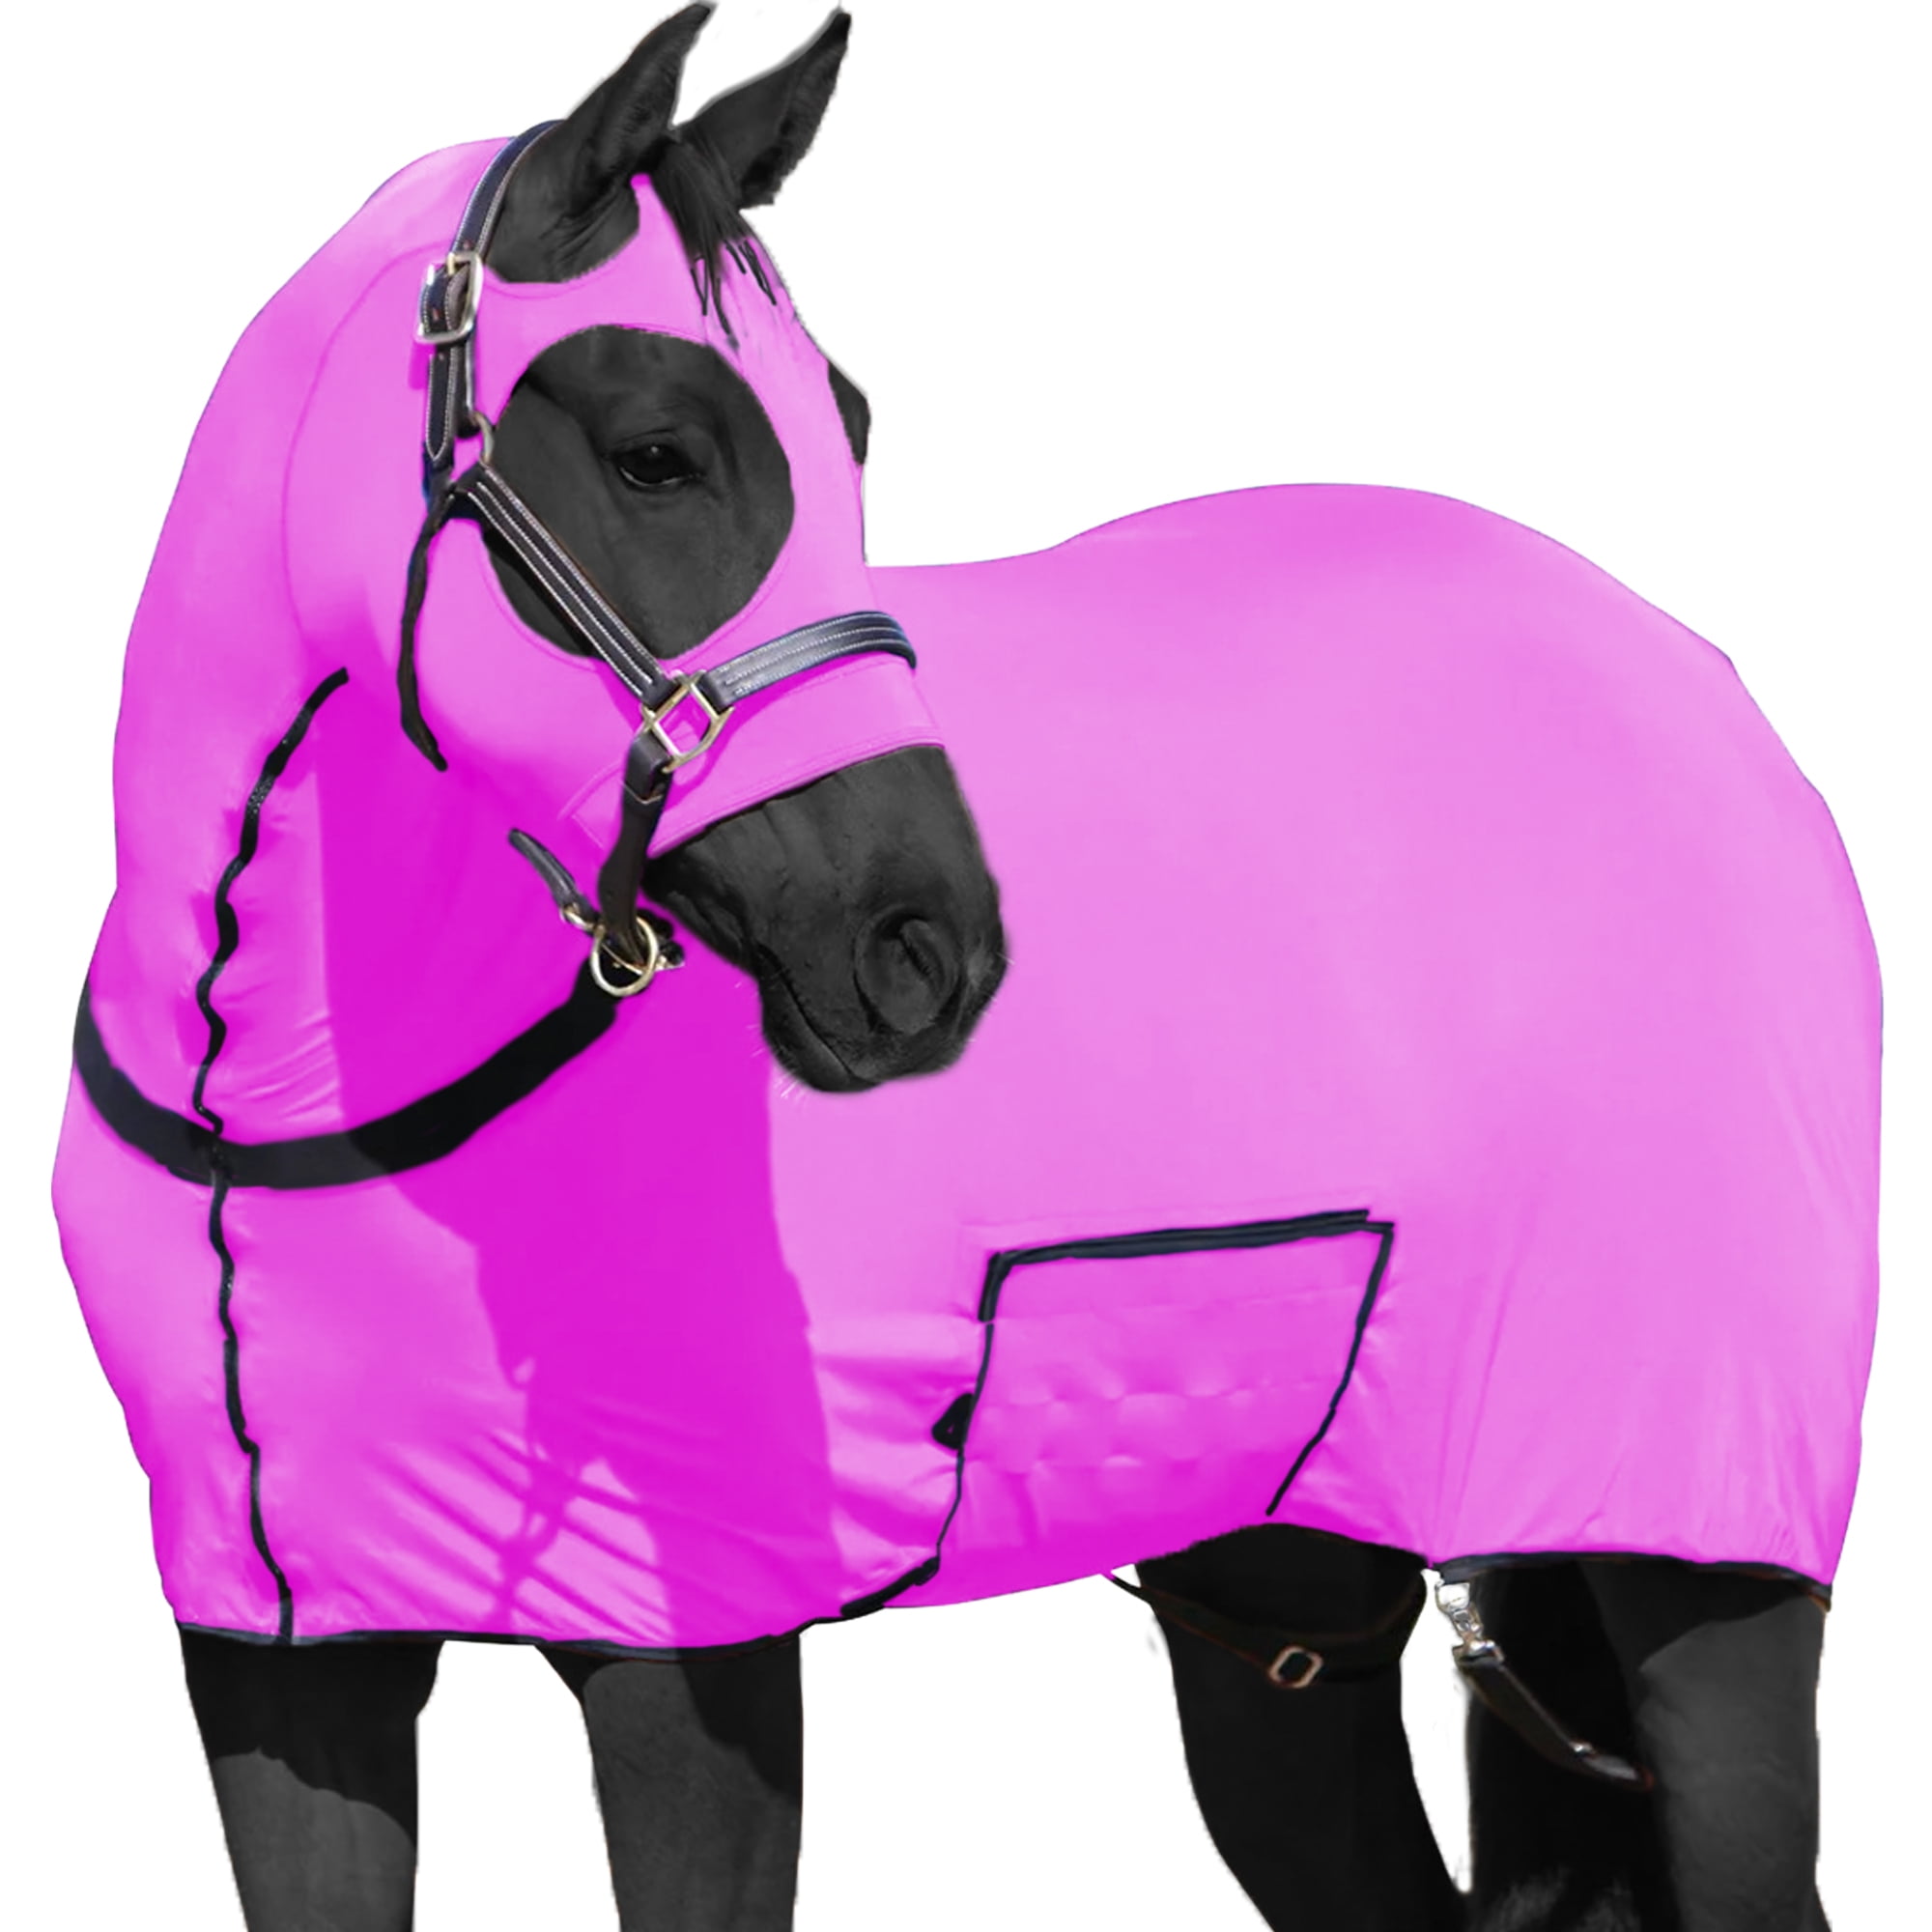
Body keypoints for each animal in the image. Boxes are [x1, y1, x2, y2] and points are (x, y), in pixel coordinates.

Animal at [50, 8, 1876, 1931]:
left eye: (848, 429)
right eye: (655, 451)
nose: (927, 948)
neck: (295, 1111)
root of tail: (1707, 689)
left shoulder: (692, 1650)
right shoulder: (284, 1669)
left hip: (1696, 1556)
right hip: (1282, 1602)